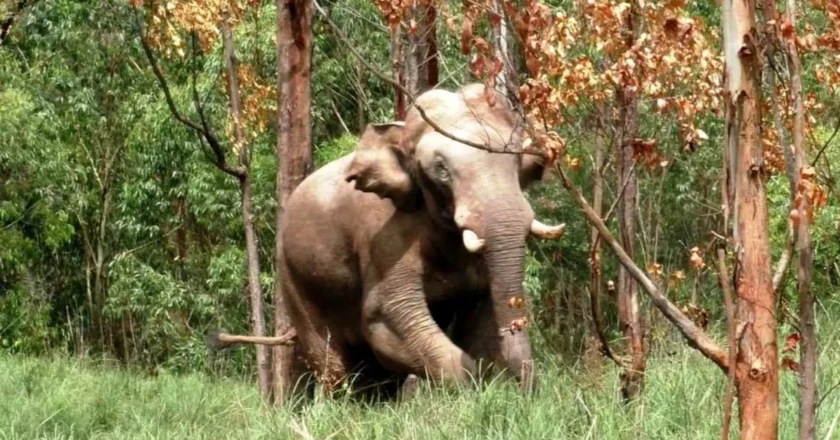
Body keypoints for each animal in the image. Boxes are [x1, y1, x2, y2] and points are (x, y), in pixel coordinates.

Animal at [209, 82, 564, 396]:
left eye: (517, 160)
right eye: (441, 168)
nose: (528, 389)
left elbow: (481, 310)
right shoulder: (383, 235)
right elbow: (385, 314)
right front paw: (468, 391)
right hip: (293, 278)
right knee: (333, 363)